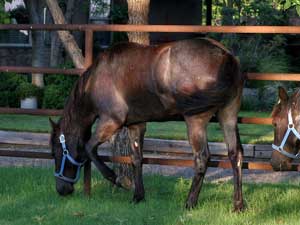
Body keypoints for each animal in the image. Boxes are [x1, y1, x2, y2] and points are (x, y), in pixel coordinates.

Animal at [49, 38, 245, 211]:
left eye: (56, 152)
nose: (61, 190)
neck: (96, 80)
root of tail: (227, 57)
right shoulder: (136, 125)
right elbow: (136, 159)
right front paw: (138, 196)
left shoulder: (111, 121)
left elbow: (89, 148)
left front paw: (117, 179)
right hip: (228, 115)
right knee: (235, 155)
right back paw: (238, 205)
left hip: (196, 120)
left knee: (202, 158)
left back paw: (190, 203)